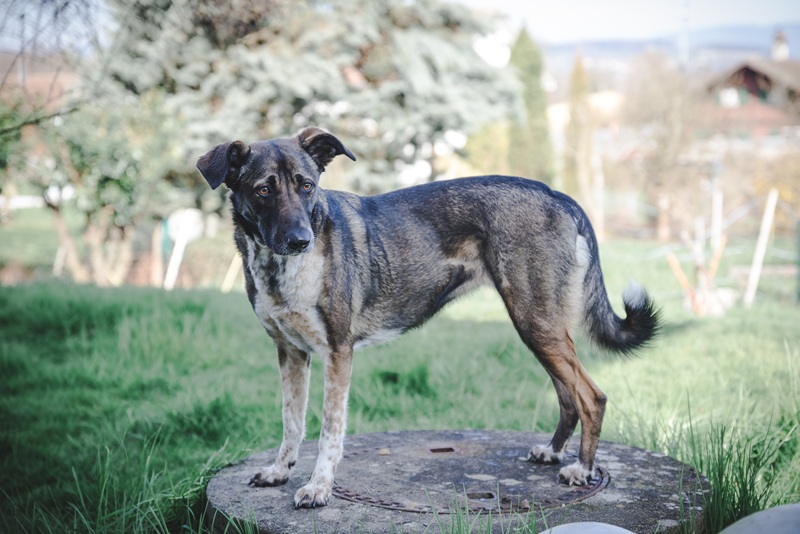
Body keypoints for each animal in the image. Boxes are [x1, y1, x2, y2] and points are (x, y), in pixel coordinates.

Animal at [197, 127, 659, 509]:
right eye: (263, 190)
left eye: (306, 186)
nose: (300, 240)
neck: (282, 268)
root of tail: (560, 196)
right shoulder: (290, 352)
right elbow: (291, 421)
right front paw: (280, 471)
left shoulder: (337, 352)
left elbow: (329, 429)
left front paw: (318, 488)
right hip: (539, 326)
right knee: (567, 393)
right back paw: (553, 452)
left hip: (535, 321)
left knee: (590, 396)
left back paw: (582, 469)